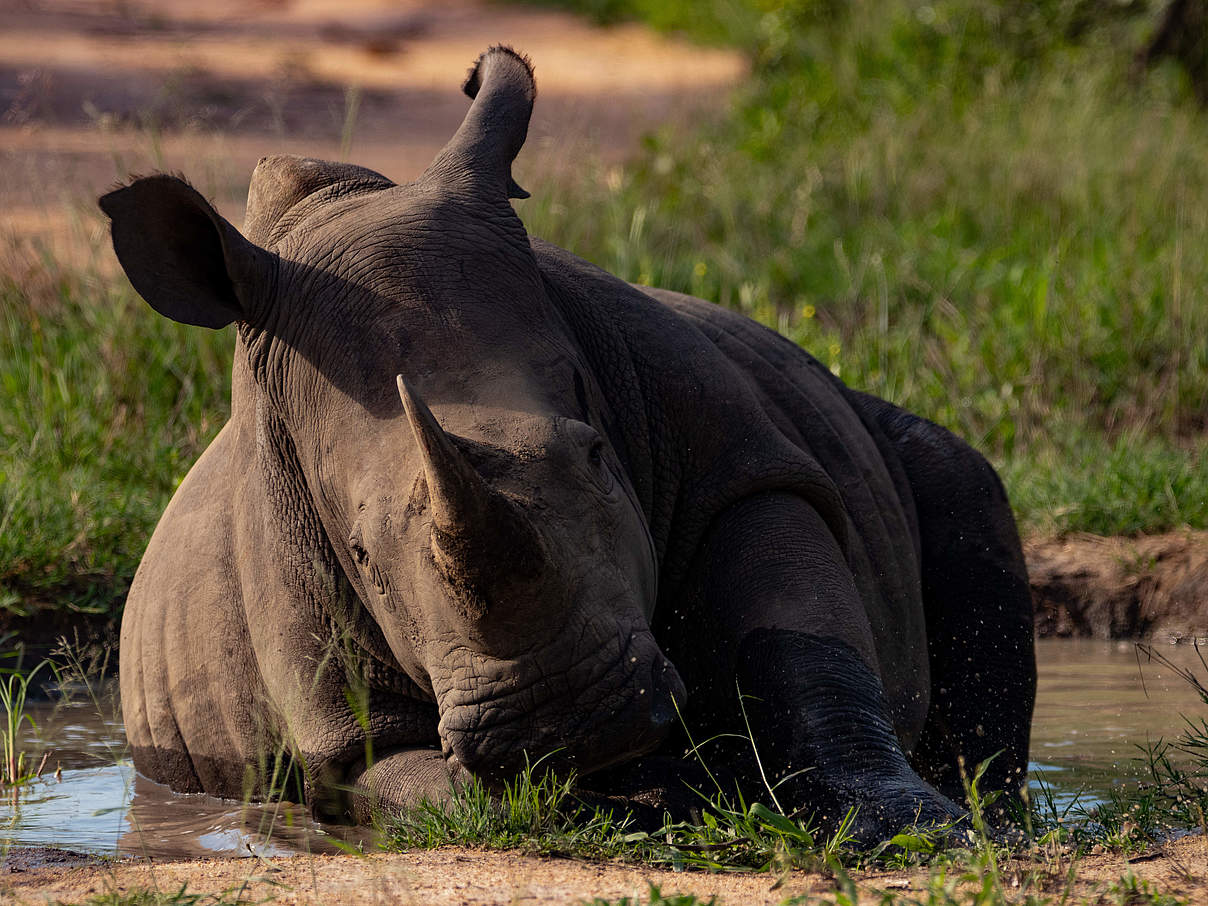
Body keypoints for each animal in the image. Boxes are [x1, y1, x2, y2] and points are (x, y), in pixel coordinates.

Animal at [99, 48, 1034, 845]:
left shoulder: (743, 465)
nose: (568, 717)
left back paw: (998, 808)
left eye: (595, 455)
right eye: (359, 554)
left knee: (959, 480)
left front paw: (923, 830)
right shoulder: (330, 701)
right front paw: (630, 803)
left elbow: (807, 650)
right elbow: (413, 781)